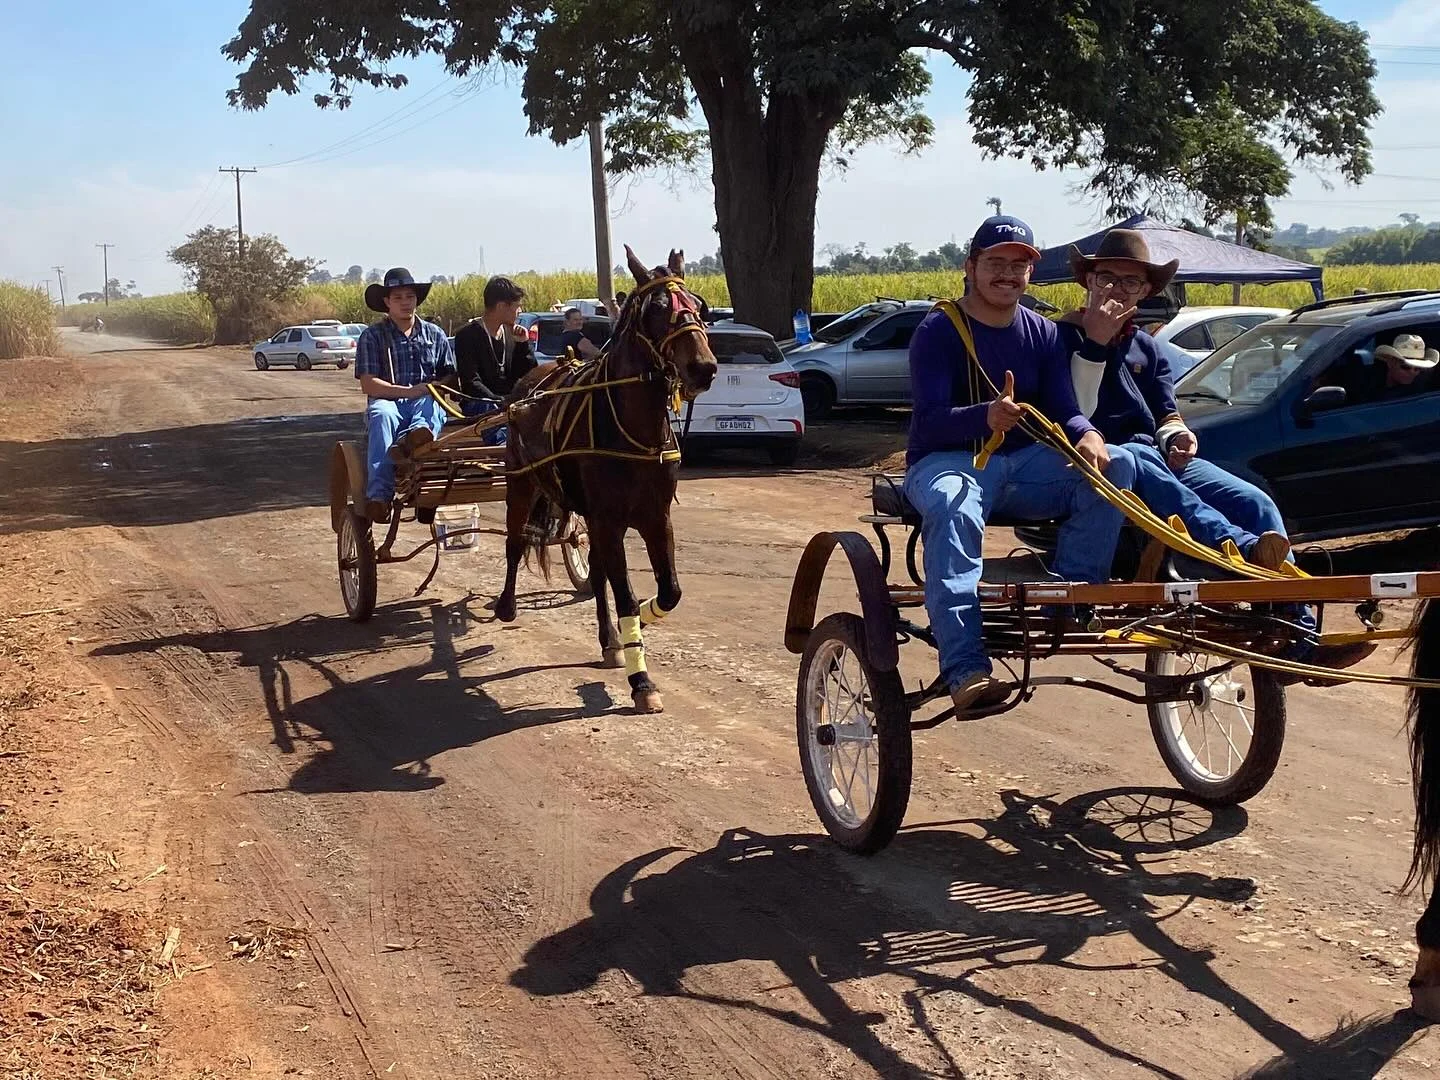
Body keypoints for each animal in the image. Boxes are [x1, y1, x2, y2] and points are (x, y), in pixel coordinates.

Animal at [493, 246, 718, 714]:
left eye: (698, 305)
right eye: (657, 309)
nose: (703, 367)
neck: (632, 427)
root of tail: (527, 384)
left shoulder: (654, 517)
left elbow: (668, 592)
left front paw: (639, 626)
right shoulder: (610, 520)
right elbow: (625, 592)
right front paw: (642, 679)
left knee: (595, 572)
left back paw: (610, 640)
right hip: (522, 484)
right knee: (515, 540)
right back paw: (506, 605)